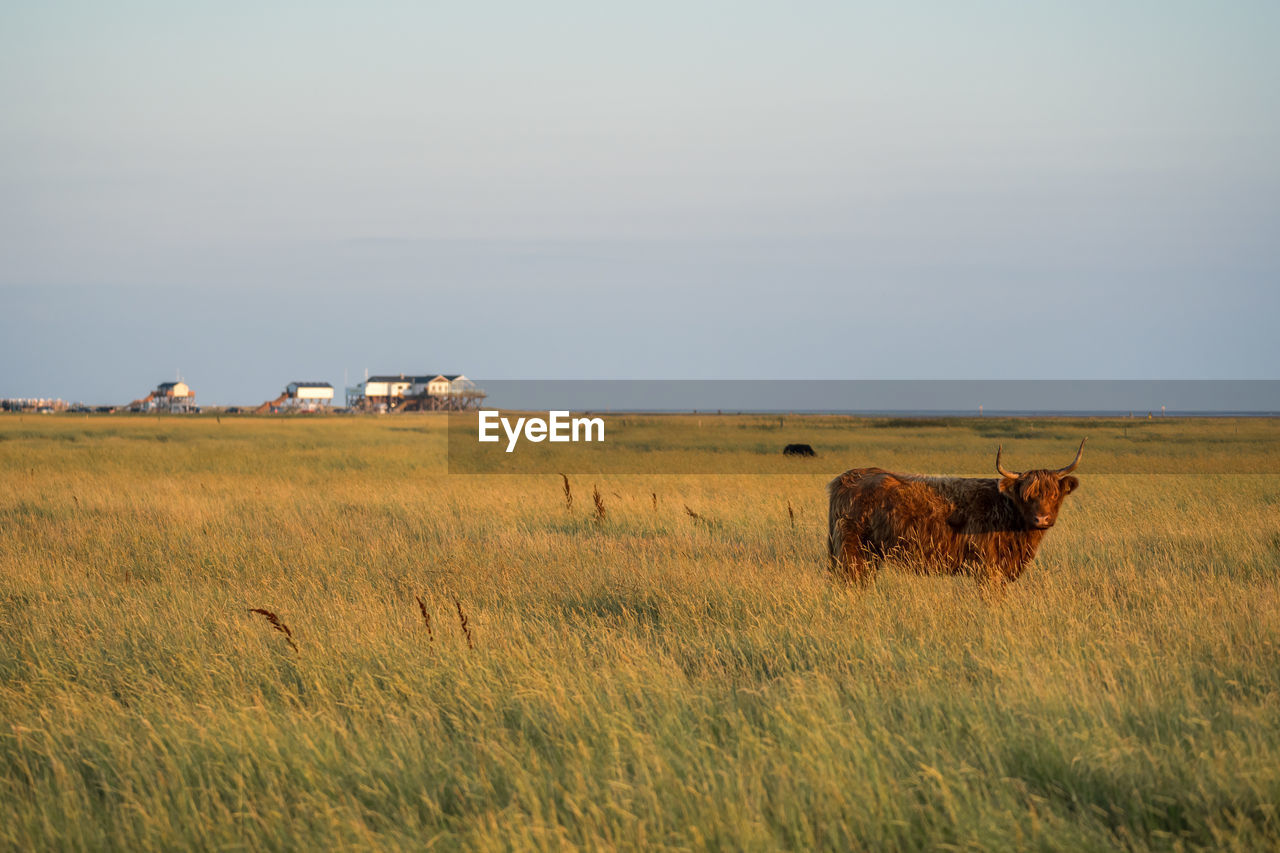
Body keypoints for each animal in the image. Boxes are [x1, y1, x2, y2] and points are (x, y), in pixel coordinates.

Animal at [824, 438, 1085, 584]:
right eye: (1027, 495)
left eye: (1054, 494)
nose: (1042, 518)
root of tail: (847, 477)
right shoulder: (988, 569)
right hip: (854, 553)